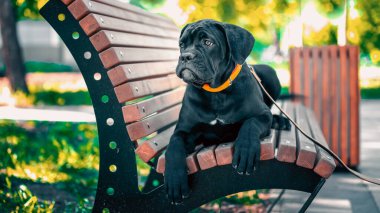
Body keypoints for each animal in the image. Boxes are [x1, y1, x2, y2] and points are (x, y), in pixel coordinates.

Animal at [165, 20, 290, 205]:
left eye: (207, 42)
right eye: (182, 44)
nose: (186, 56)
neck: (216, 92)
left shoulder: (261, 114)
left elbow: (250, 125)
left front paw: (246, 151)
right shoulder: (184, 131)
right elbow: (173, 147)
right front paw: (174, 180)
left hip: (270, 73)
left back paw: (280, 121)